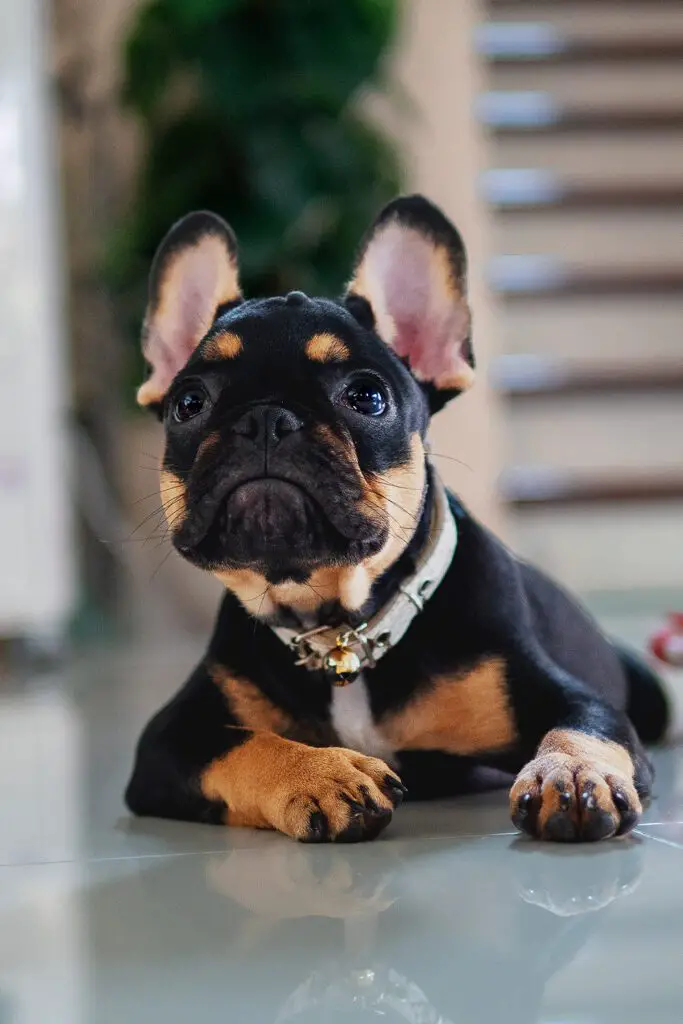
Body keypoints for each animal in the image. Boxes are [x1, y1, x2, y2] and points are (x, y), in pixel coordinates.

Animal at [125, 195, 675, 843]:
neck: (341, 630)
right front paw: (323, 774)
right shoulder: (170, 738)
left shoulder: (570, 699)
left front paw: (567, 774)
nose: (264, 419)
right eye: (188, 404)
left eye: (367, 398)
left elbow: (579, 727)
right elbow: (247, 744)